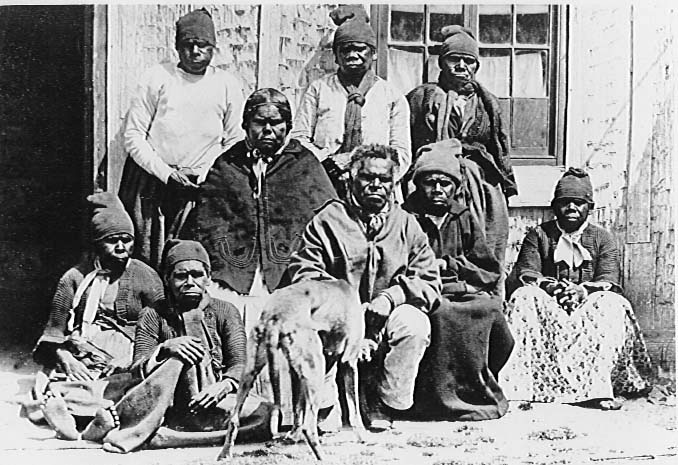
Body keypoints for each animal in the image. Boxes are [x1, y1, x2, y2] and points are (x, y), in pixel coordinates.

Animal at [217, 279, 367, 461]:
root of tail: (275, 315)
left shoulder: (295, 372)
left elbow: (297, 407)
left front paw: (293, 436)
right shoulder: (348, 362)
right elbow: (354, 408)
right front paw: (363, 437)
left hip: (249, 372)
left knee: (234, 419)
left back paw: (224, 454)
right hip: (316, 370)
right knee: (309, 427)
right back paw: (324, 457)